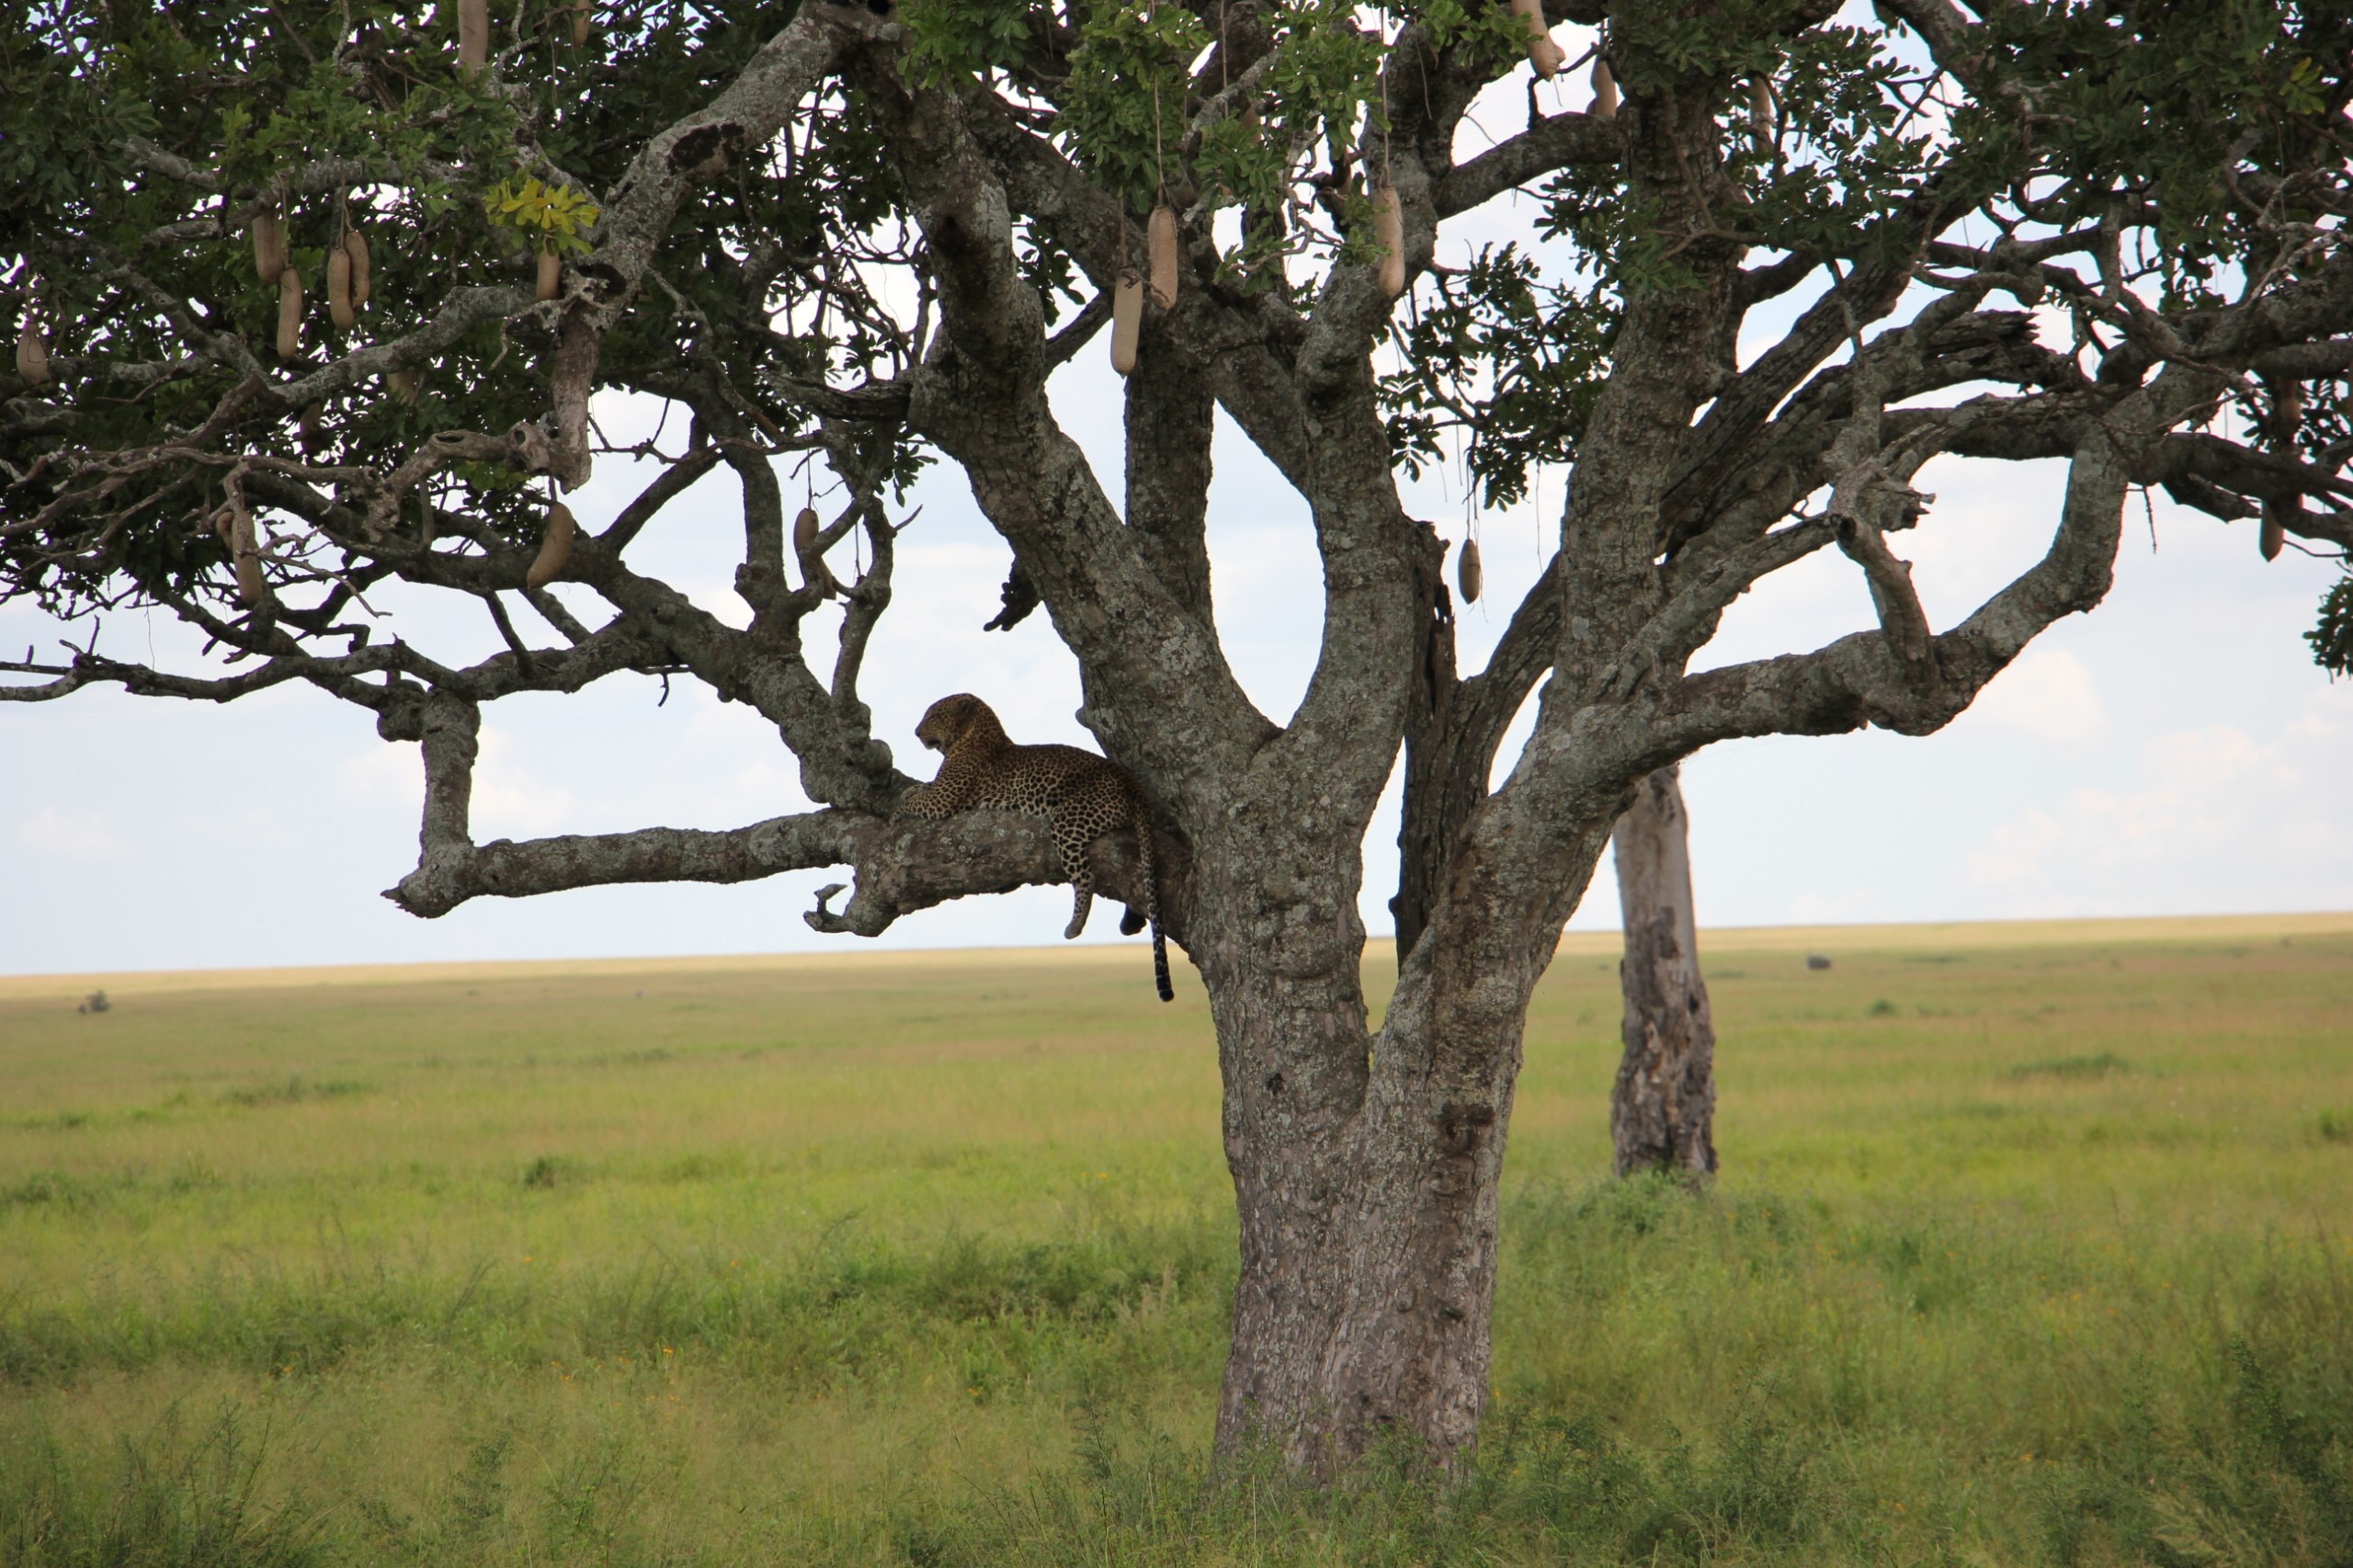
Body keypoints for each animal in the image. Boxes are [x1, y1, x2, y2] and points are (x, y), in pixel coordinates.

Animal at [884, 692, 1171, 993]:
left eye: (933, 716)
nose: (917, 732)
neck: (970, 736)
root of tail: (1131, 780)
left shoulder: (944, 798)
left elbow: (916, 800)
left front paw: (894, 814)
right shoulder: (939, 790)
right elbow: (921, 789)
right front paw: (908, 790)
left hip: (1069, 820)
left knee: (1085, 878)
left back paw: (1075, 925)